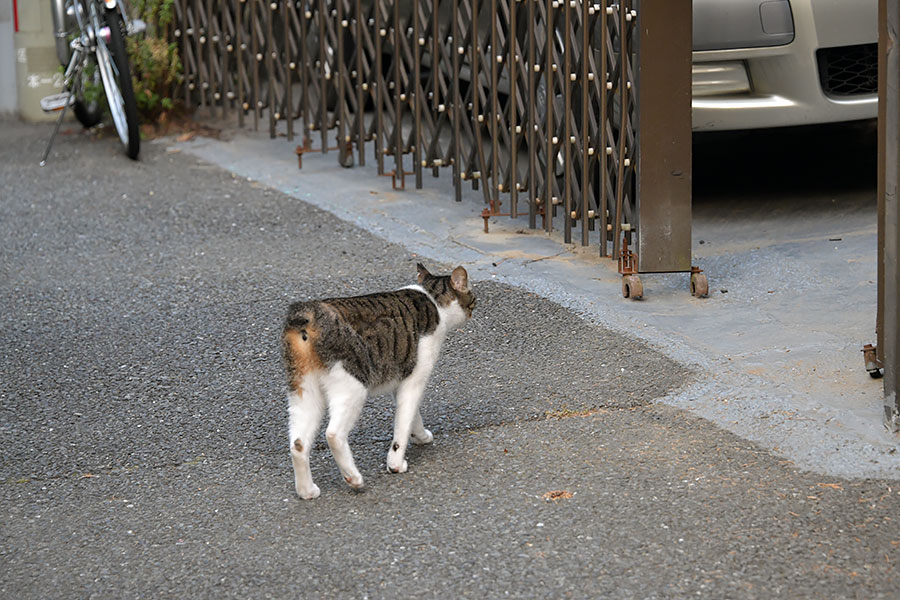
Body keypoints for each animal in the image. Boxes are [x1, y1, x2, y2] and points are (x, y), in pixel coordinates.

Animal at [284, 264, 478, 500]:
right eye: (473, 297)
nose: (475, 307)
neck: (432, 299)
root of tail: (310, 312)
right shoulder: (414, 380)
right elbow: (402, 425)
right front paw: (395, 464)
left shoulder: (400, 381)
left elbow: (413, 416)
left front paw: (420, 436)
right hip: (352, 385)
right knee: (333, 434)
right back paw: (353, 478)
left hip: (304, 389)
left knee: (298, 444)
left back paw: (307, 491)